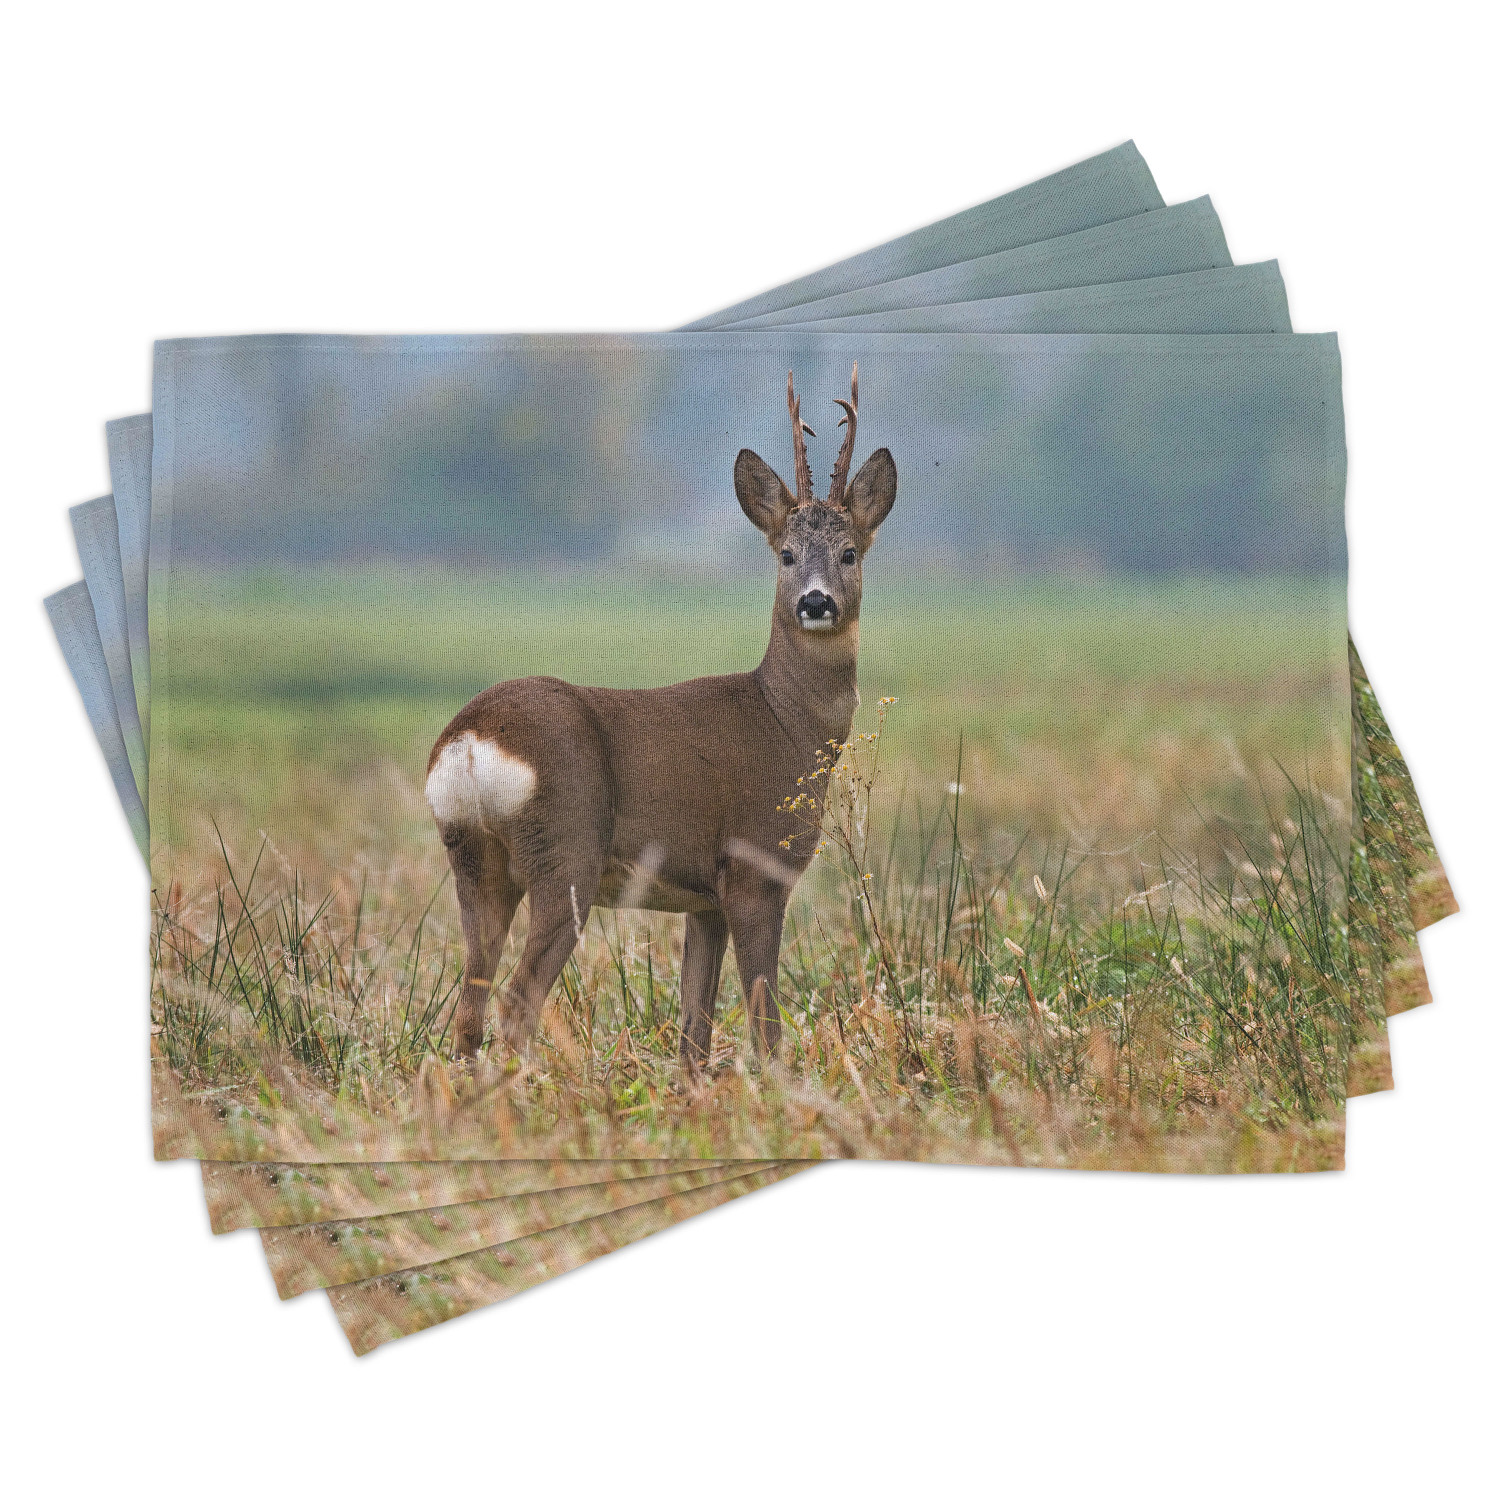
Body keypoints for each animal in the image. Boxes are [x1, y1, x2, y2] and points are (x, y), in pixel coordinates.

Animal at [424, 367, 896, 1068]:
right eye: (785, 554)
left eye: (848, 553)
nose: (816, 602)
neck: (786, 724)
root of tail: (469, 741)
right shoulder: (753, 865)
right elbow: (765, 1018)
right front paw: (783, 1085)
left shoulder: (705, 899)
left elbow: (693, 1031)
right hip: (565, 853)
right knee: (515, 1006)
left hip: (477, 861)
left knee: (469, 1006)